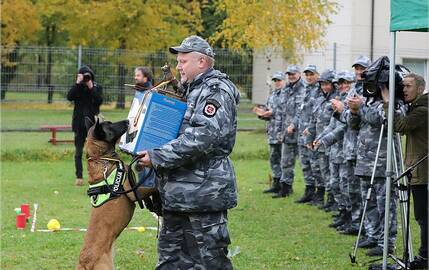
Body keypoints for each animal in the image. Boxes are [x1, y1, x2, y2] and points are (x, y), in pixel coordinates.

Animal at [75, 118, 159, 270]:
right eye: (110, 124)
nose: (127, 120)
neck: (101, 158)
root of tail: (85, 262)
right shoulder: (133, 191)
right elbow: (151, 188)